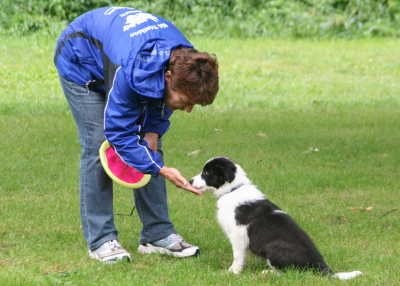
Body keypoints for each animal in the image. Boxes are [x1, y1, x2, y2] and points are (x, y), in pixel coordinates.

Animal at [191, 156, 362, 280]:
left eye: (206, 173)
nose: (190, 181)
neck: (233, 189)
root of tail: (320, 264)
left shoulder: (238, 234)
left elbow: (237, 256)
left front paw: (232, 272)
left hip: (274, 248)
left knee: (290, 272)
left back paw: (268, 273)